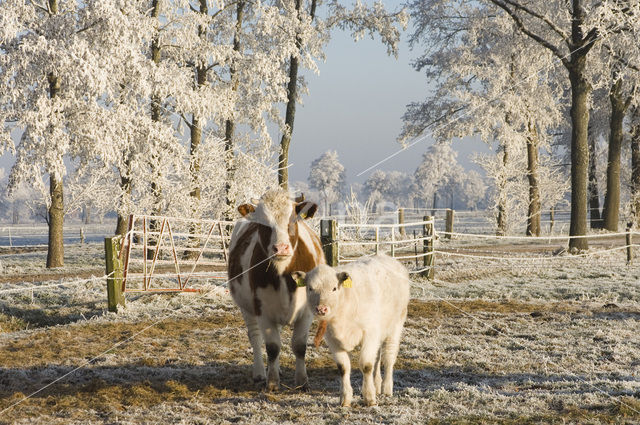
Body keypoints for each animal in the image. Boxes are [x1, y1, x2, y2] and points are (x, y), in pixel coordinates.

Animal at [226, 189, 324, 390]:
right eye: (263, 222)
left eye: (293, 219)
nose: (281, 248)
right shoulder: (262, 309)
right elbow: (272, 347)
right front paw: (272, 382)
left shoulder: (306, 311)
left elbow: (299, 346)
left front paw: (302, 381)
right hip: (246, 307)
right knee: (255, 337)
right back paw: (259, 373)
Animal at [292, 253, 410, 406]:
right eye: (310, 288)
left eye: (334, 288)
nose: (321, 309)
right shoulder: (333, 340)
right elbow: (343, 368)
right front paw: (345, 399)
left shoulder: (369, 334)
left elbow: (366, 365)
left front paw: (369, 398)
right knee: (377, 359)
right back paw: (377, 385)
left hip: (395, 326)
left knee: (388, 358)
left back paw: (386, 388)